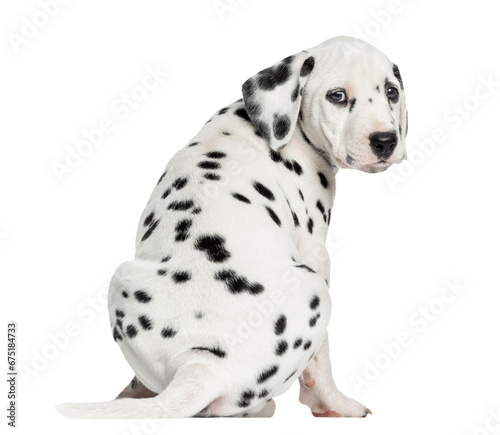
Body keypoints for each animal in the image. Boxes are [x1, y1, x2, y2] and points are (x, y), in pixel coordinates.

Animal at [57, 36, 406, 418]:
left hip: (122, 277)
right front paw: (334, 402)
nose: (385, 141)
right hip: (317, 290)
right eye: (337, 96)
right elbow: (321, 361)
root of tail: (201, 365)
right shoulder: (316, 254)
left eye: (392, 91)